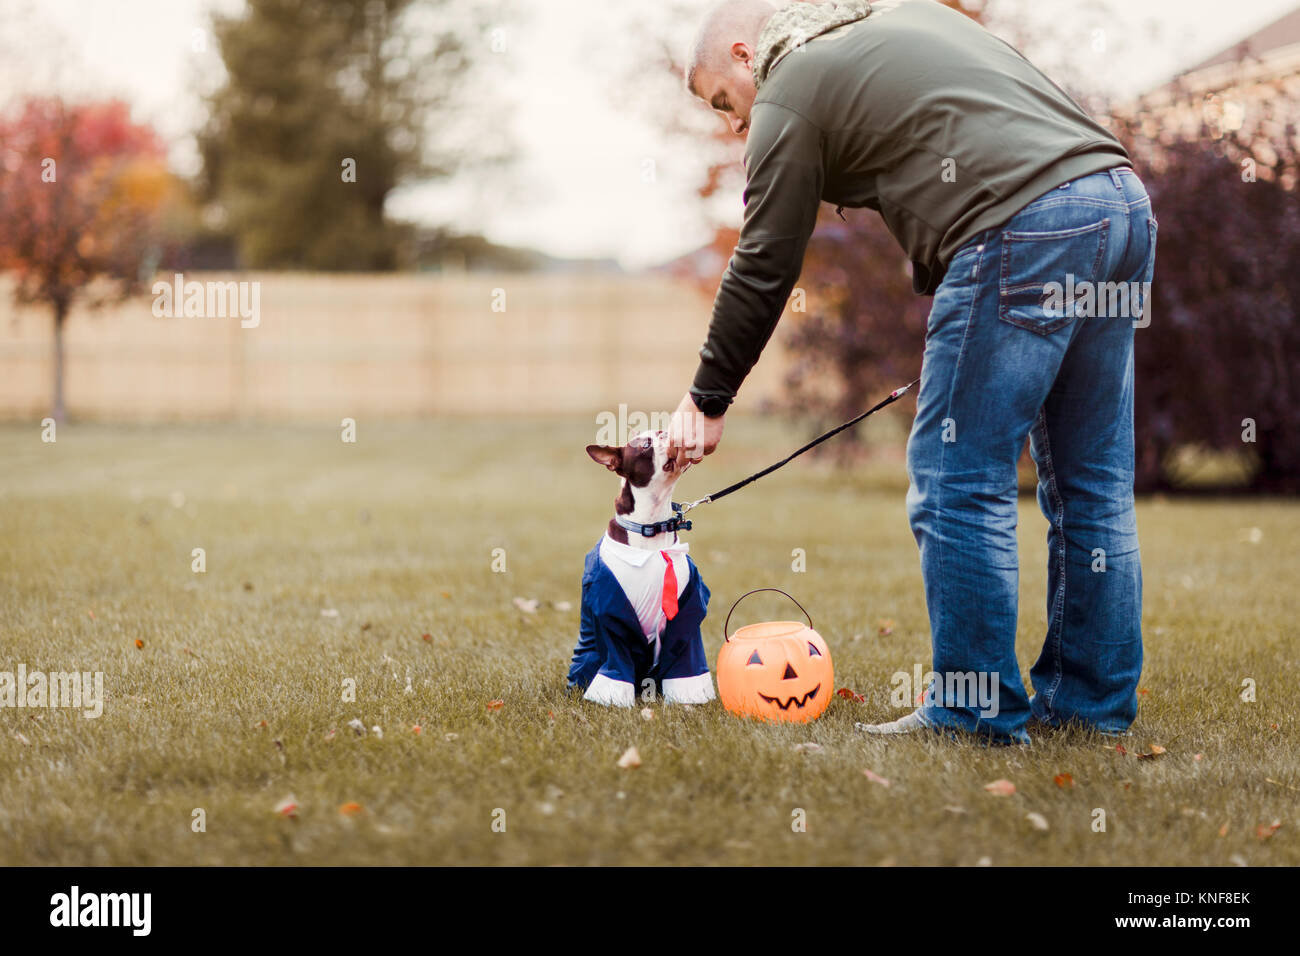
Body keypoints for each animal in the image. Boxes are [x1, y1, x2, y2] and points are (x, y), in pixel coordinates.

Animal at [564, 429, 717, 707]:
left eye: (659, 432)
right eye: (645, 445)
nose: (666, 432)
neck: (652, 527)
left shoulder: (687, 607)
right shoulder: (611, 610)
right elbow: (617, 656)